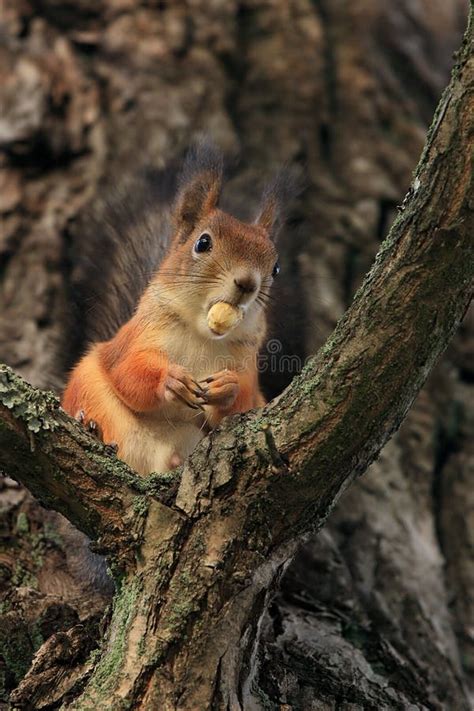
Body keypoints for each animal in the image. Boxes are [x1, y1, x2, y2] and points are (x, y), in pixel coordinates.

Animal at [62, 140, 294, 476]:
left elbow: (243, 405)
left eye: (275, 268)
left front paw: (227, 387)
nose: (247, 283)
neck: (202, 334)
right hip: (87, 385)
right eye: (203, 243)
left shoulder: (247, 367)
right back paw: (90, 427)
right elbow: (126, 370)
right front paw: (171, 378)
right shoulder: (135, 338)